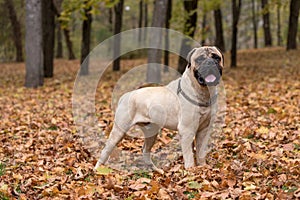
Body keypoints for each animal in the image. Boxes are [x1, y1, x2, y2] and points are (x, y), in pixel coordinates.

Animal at [95, 46, 224, 171]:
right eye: (200, 59)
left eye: (216, 57)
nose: (210, 63)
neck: (204, 92)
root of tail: (125, 96)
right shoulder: (187, 130)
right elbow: (189, 156)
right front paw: (191, 171)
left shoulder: (204, 130)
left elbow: (201, 152)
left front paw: (203, 168)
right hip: (119, 131)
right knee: (106, 150)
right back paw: (97, 169)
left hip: (151, 132)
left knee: (145, 150)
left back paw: (156, 170)